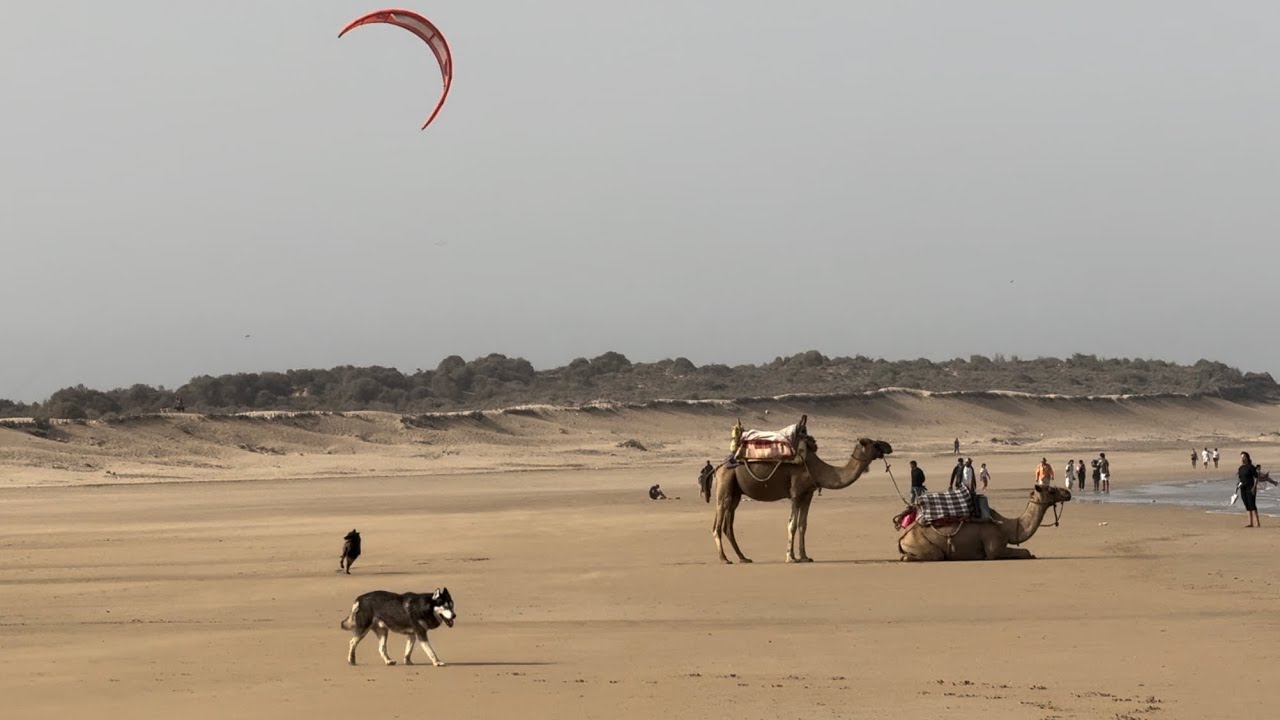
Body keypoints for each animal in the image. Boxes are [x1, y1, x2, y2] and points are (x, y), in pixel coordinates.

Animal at [706, 438, 896, 561]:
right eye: (874, 443)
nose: (889, 446)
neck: (817, 469)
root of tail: (718, 467)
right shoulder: (796, 493)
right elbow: (791, 524)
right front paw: (790, 557)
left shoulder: (807, 494)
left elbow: (803, 525)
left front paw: (804, 556)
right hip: (725, 485)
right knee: (718, 523)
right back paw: (724, 558)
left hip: (736, 492)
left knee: (728, 524)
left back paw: (743, 557)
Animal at [901, 481, 1070, 561]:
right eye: (1051, 490)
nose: (1067, 493)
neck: (1006, 527)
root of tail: (903, 537)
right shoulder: (994, 548)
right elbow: (1026, 552)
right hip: (921, 544)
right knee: (935, 555)